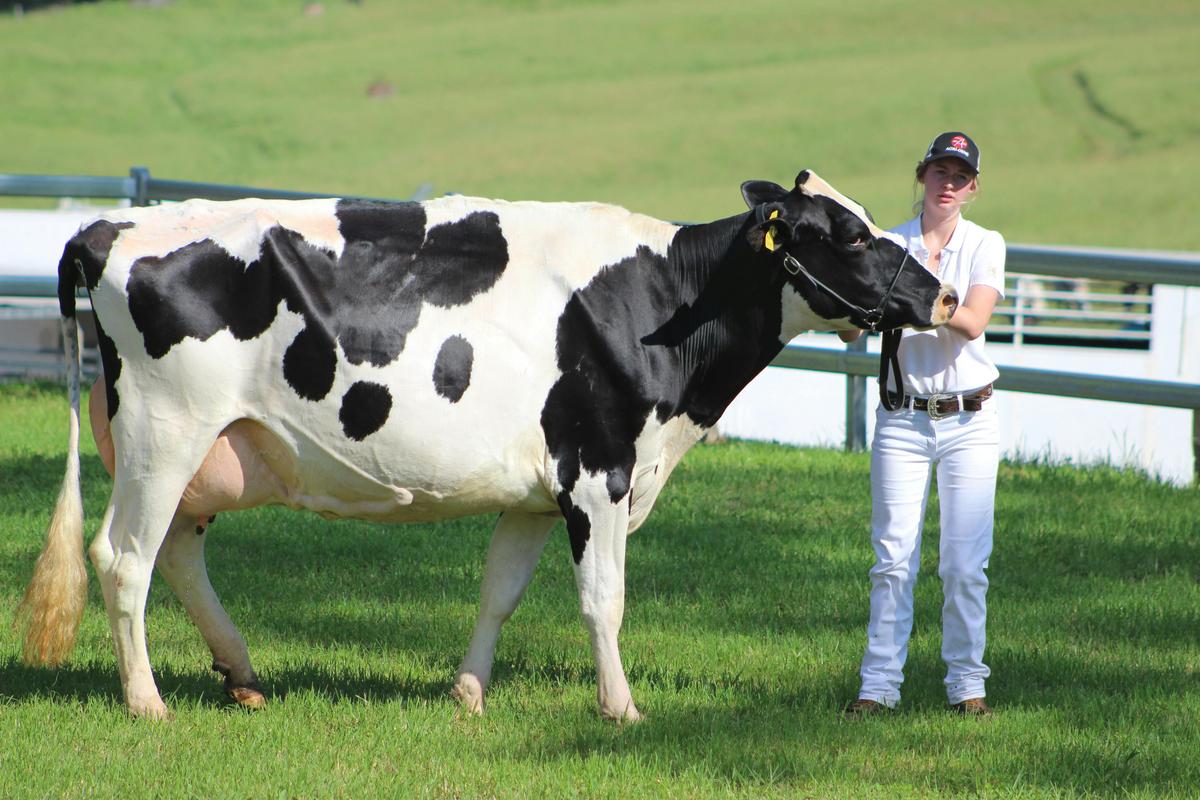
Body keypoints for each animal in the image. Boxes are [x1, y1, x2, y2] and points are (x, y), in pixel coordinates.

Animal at [18, 170, 957, 720]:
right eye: (848, 234)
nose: (944, 296)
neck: (664, 300)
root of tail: (110, 227)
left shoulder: (541, 489)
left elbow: (499, 593)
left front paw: (468, 692)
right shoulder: (601, 473)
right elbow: (604, 600)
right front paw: (621, 708)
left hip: (208, 449)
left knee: (175, 553)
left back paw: (242, 674)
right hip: (164, 431)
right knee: (123, 558)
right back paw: (147, 702)